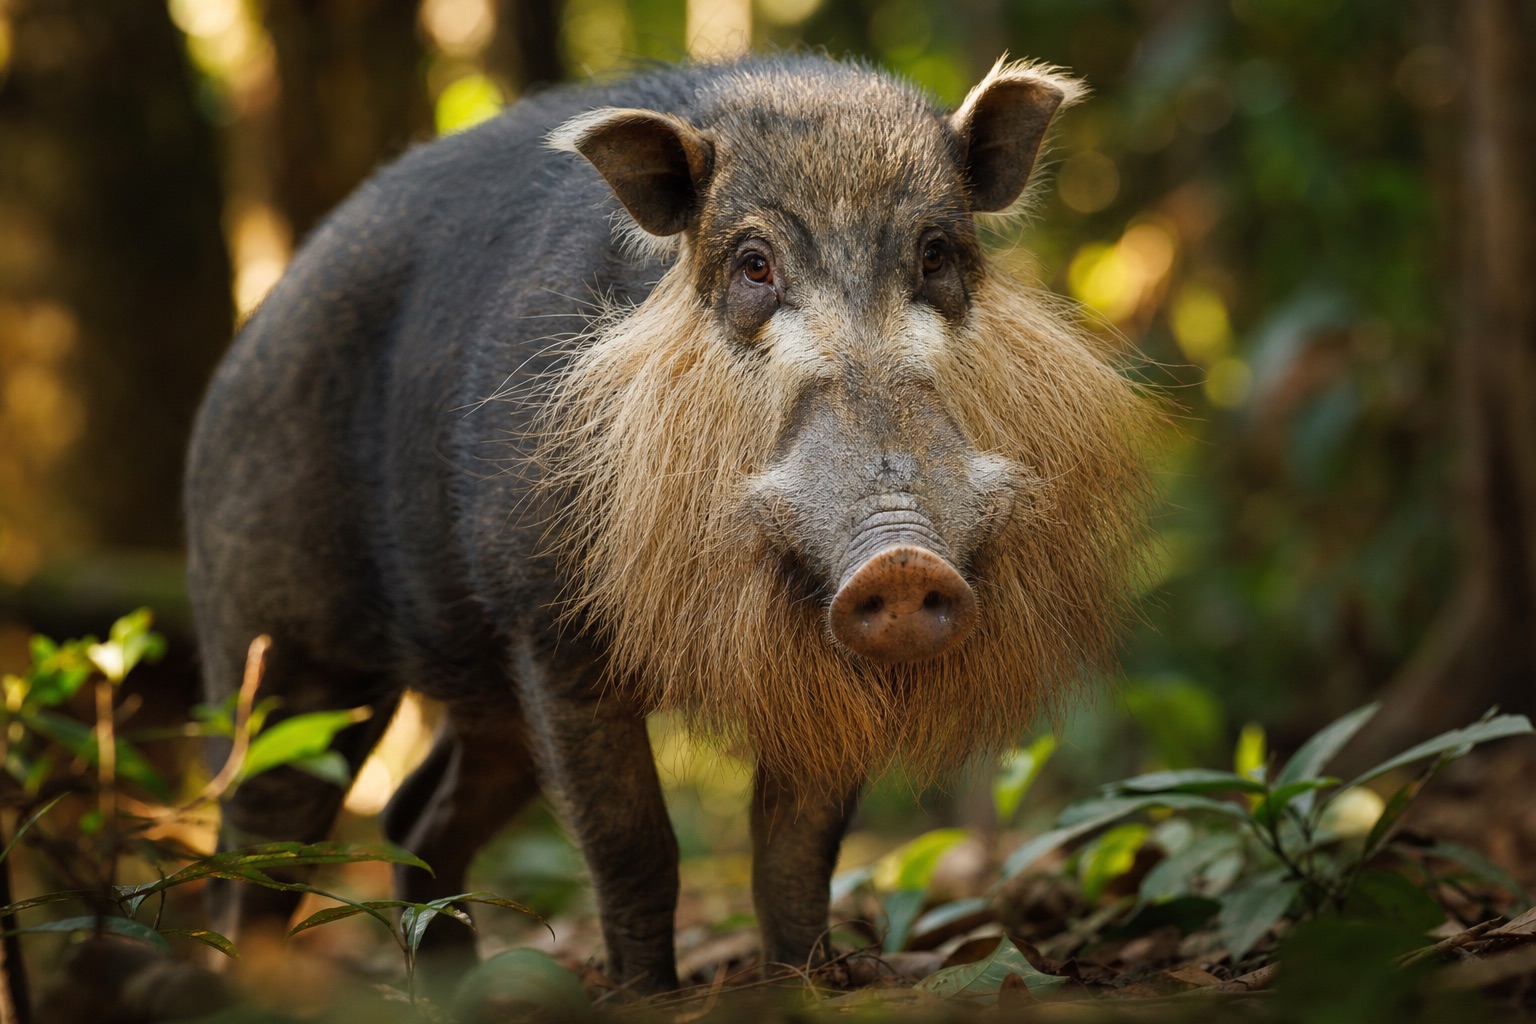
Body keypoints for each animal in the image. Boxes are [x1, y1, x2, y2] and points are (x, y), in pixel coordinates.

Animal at [184, 53, 1155, 992]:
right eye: (755, 265)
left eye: (935, 255)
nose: (903, 564)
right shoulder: (551, 627)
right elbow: (633, 845)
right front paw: (649, 997)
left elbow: (795, 852)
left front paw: (812, 984)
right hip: (277, 647)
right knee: (260, 831)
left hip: (485, 700)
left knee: (413, 814)